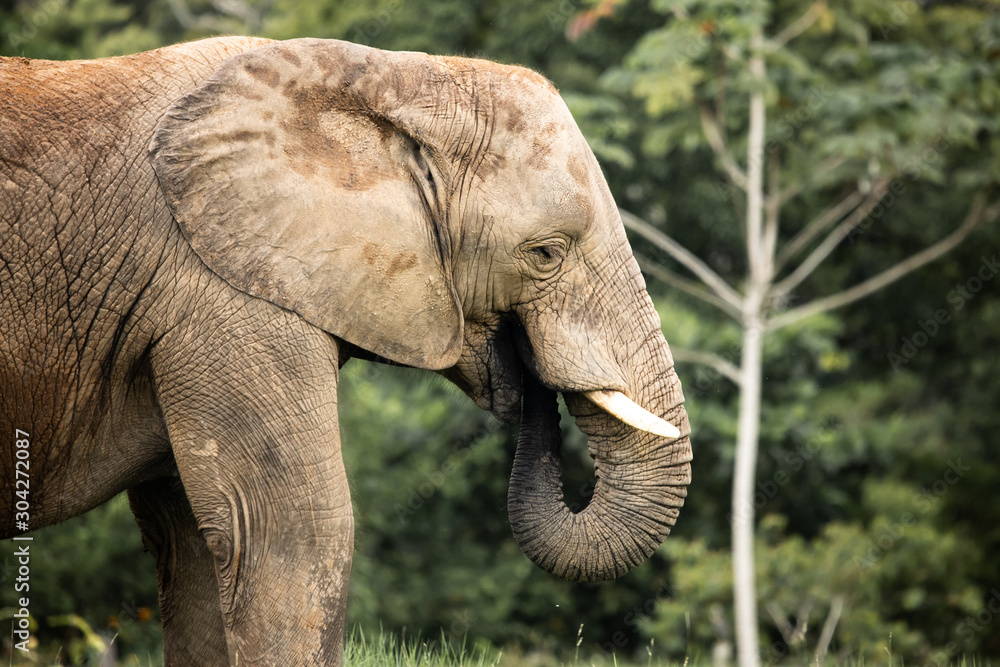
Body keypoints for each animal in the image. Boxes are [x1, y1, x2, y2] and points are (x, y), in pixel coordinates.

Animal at [0, 36, 692, 665]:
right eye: (546, 253)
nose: (531, 378)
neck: (390, 79)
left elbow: (194, 543)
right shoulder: (223, 292)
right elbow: (292, 531)